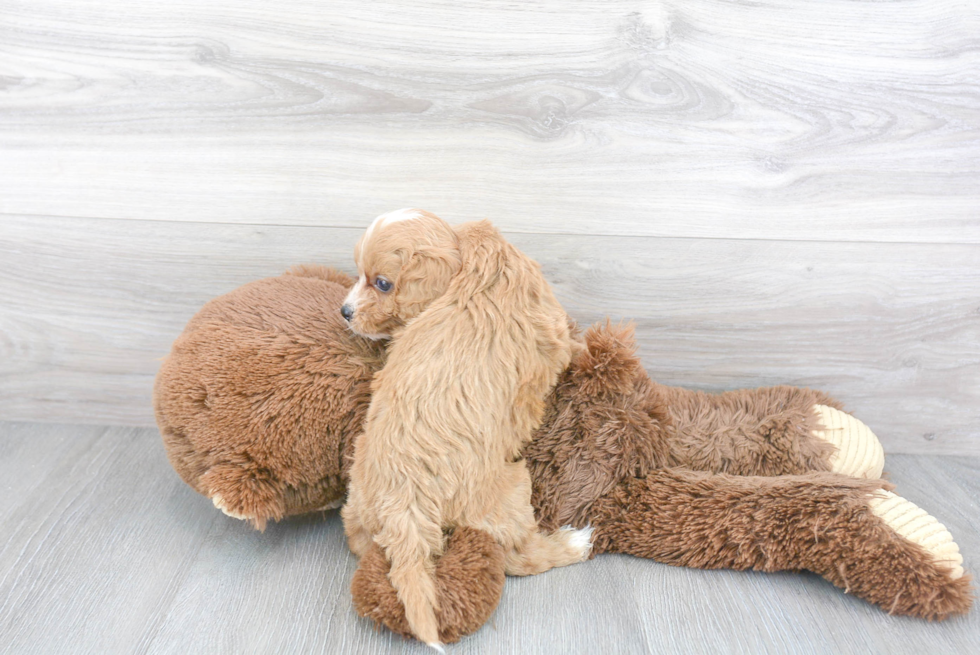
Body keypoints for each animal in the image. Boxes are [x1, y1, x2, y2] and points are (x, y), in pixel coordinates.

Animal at [340, 209, 592, 644]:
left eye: (382, 283)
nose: (344, 311)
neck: (471, 255)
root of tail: (405, 508)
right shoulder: (554, 332)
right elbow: (571, 348)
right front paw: (589, 348)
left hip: (359, 493)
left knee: (359, 539)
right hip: (511, 491)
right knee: (519, 558)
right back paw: (574, 543)